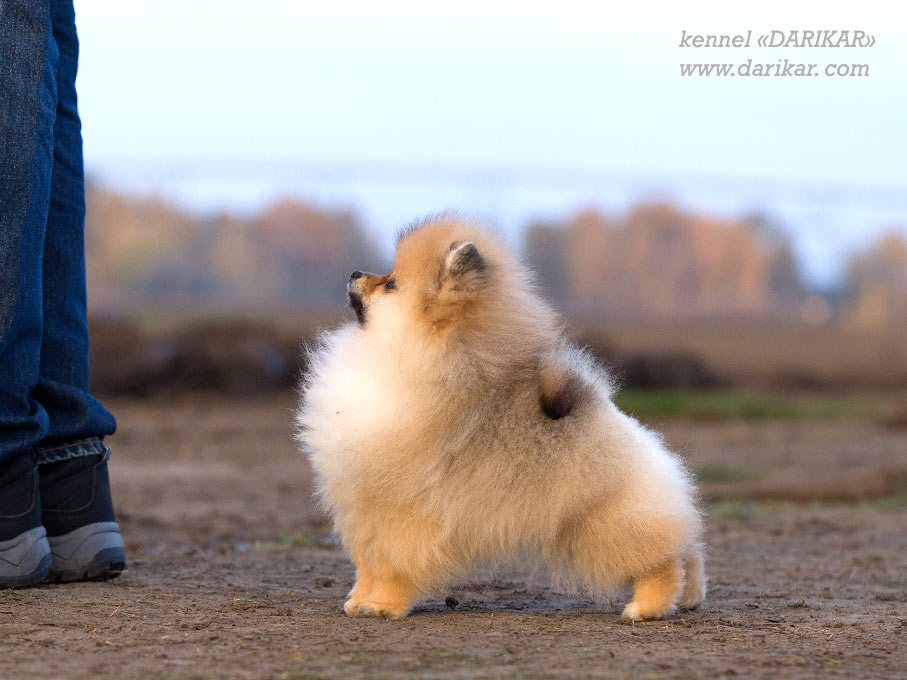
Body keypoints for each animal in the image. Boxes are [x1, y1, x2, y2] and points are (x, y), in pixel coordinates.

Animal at [294, 215, 704, 620]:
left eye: (391, 283)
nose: (355, 272)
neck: (412, 358)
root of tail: (619, 420)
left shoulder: (399, 510)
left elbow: (393, 564)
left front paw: (382, 606)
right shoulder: (361, 508)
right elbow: (367, 563)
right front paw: (358, 601)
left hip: (607, 521)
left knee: (664, 559)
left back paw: (647, 607)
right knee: (689, 548)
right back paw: (690, 597)